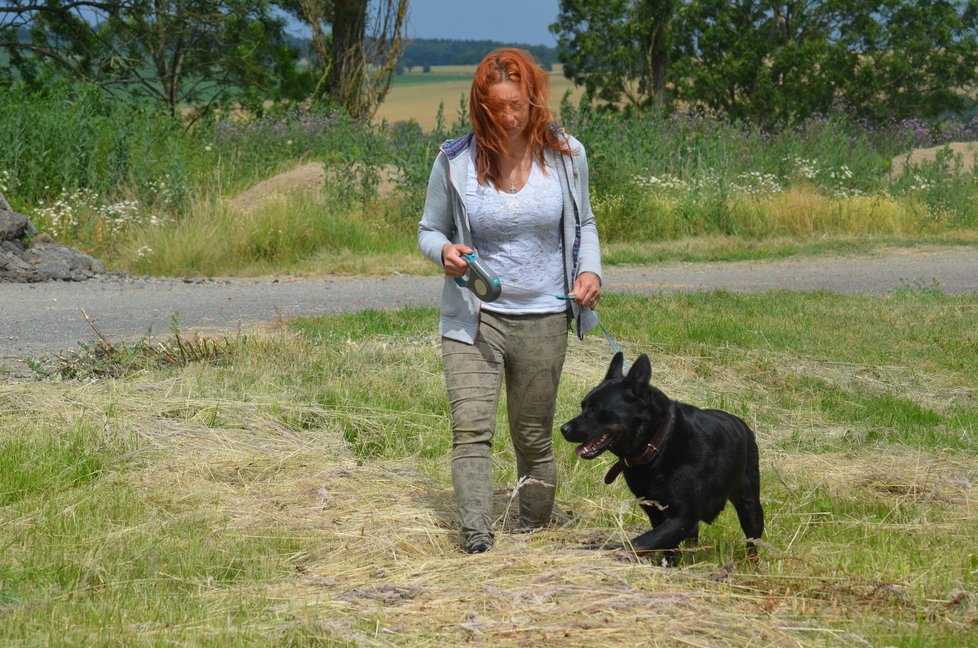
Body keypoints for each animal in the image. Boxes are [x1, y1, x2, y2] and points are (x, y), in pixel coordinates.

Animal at [556, 352, 764, 560]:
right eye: (582, 406)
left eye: (594, 410)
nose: (563, 429)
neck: (659, 444)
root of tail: (744, 427)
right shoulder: (657, 512)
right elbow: (665, 546)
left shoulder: (683, 516)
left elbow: (640, 542)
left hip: (750, 505)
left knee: (752, 541)